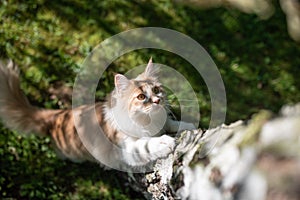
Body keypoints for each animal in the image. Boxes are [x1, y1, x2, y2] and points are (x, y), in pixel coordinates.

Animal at [0, 58, 195, 170]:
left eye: (156, 90)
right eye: (141, 97)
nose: (156, 101)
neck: (148, 122)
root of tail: (58, 115)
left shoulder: (163, 122)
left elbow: (172, 123)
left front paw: (189, 127)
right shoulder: (126, 148)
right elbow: (147, 144)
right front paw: (164, 141)